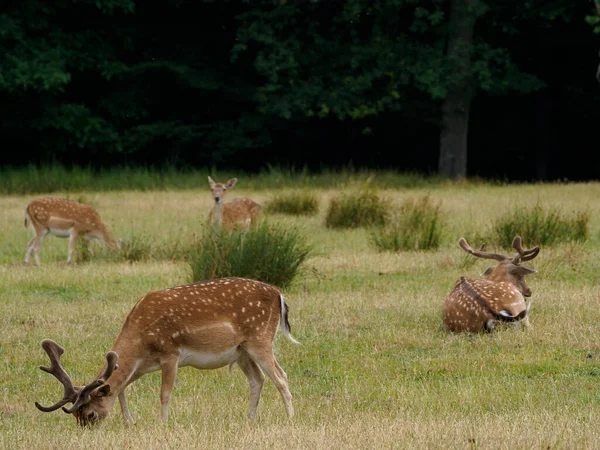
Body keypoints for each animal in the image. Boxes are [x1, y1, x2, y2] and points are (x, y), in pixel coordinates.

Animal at [34, 276, 298, 428]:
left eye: (89, 414)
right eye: (75, 415)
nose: (85, 429)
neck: (141, 341)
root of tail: (279, 293)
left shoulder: (171, 353)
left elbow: (165, 393)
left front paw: (162, 424)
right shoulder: (141, 366)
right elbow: (122, 388)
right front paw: (130, 422)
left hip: (260, 339)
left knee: (281, 377)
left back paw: (290, 419)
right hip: (242, 351)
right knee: (258, 379)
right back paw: (249, 419)